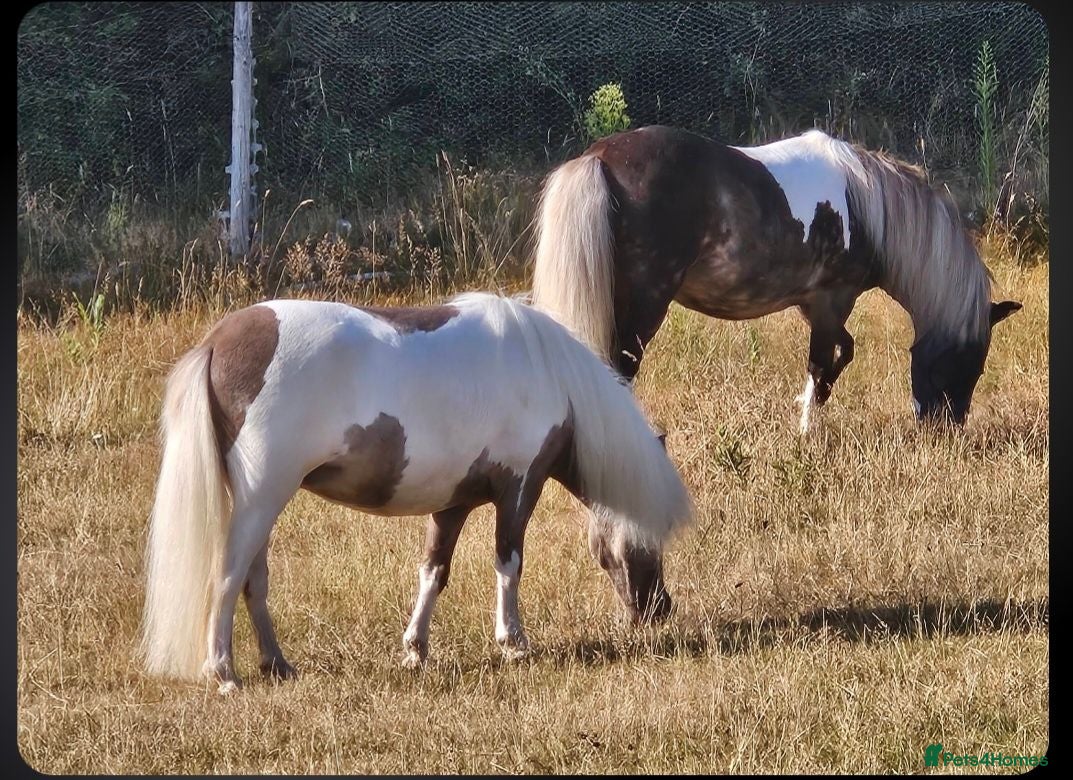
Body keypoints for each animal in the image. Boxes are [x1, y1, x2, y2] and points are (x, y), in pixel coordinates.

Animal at [140, 292, 692, 692]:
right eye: (650, 540)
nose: (659, 610)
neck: (548, 373)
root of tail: (218, 341)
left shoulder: (453, 503)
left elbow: (433, 572)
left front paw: (415, 649)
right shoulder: (519, 488)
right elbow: (508, 563)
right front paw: (513, 643)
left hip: (263, 504)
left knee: (254, 580)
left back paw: (277, 664)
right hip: (262, 497)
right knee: (228, 576)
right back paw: (223, 674)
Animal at [531, 125, 1022, 432]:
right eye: (971, 362)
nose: (946, 429)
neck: (865, 205)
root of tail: (600, 159)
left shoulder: (813, 305)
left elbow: (843, 353)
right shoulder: (831, 300)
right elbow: (821, 362)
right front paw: (808, 431)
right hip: (644, 307)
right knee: (618, 370)